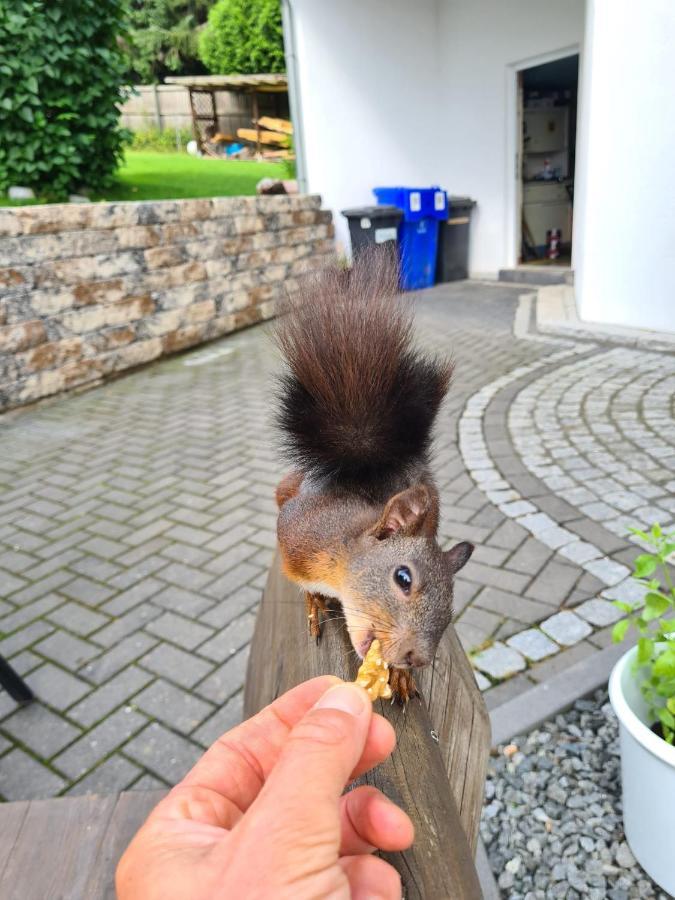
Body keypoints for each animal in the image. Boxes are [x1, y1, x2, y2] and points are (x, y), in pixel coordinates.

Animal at [272, 250, 472, 700]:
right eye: (402, 577)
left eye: (451, 609)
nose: (416, 658)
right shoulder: (297, 536)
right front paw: (313, 602)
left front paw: (398, 675)